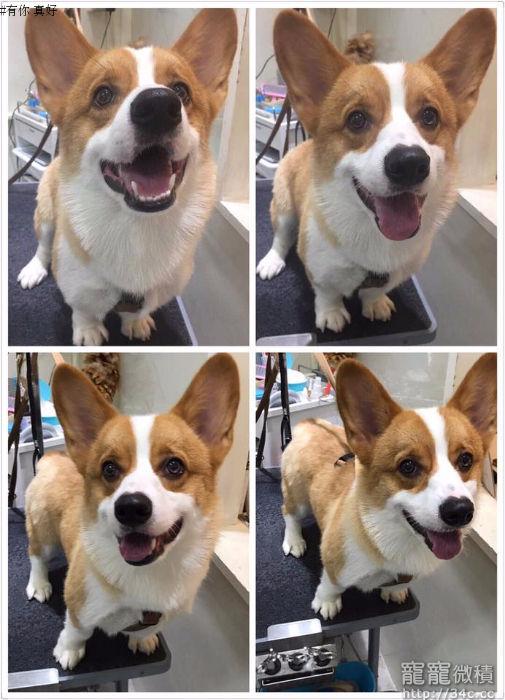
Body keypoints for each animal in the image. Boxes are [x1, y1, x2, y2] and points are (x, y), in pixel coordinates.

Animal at [18, 9, 237, 345]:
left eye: (181, 91)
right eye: (103, 95)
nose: (159, 105)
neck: (137, 226)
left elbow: (137, 309)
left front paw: (135, 321)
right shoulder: (78, 285)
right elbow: (83, 309)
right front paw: (88, 331)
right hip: (45, 213)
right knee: (43, 245)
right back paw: (34, 269)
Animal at [24, 354, 240, 670]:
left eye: (174, 466)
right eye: (109, 469)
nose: (131, 508)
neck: (149, 572)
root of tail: (54, 457)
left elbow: (146, 629)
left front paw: (142, 640)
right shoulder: (79, 606)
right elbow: (76, 630)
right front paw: (68, 651)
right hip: (43, 530)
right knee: (36, 555)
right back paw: (39, 584)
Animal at [257, 10, 495, 334]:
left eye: (430, 116)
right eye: (357, 119)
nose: (409, 163)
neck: (376, 237)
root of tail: (301, 145)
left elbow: (375, 290)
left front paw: (375, 303)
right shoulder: (319, 268)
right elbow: (326, 291)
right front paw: (331, 314)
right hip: (282, 207)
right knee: (281, 237)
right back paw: (272, 261)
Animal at [281, 354, 496, 619]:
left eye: (466, 459)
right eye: (408, 466)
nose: (459, 511)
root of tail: (309, 423)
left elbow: (397, 584)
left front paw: (394, 591)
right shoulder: (334, 563)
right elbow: (331, 584)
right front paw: (327, 603)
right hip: (298, 497)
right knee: (289, 512)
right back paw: (294, 541)